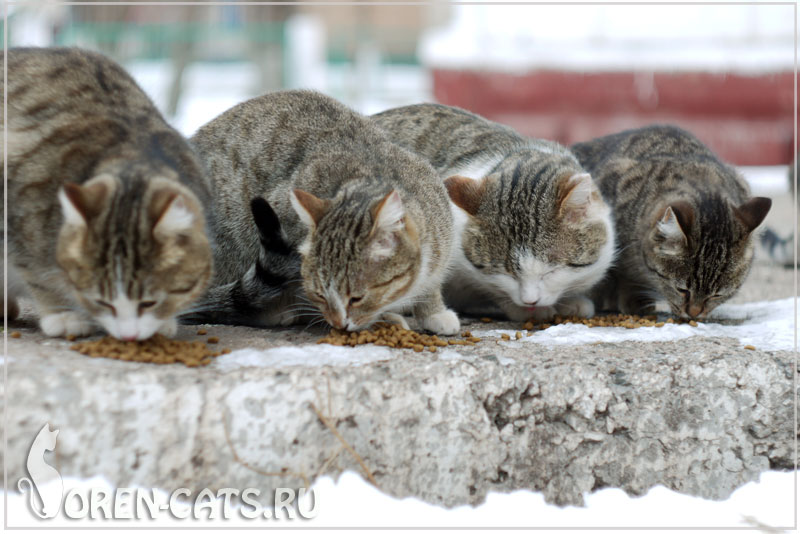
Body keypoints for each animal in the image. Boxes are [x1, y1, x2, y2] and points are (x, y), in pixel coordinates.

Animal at [188, 91, 460, 336]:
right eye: (319, 294)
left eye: (357, 297)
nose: (340, 324)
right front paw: (384, 319)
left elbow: (431, 285)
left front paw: (433, 310)